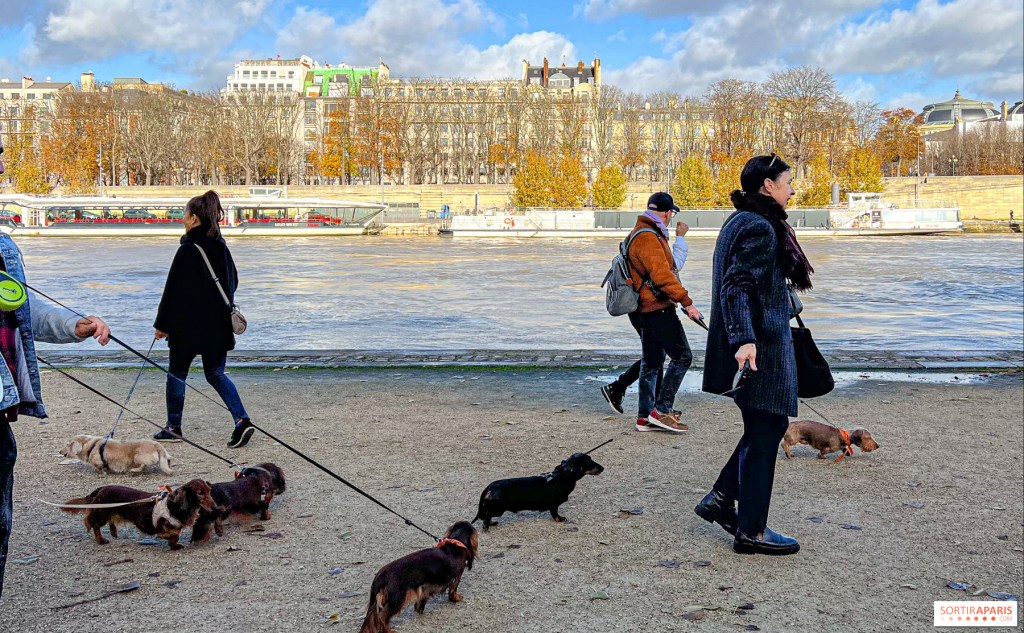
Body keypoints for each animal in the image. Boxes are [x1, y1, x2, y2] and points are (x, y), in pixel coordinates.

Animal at [61, 479, 215, 549]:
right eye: (200, 493)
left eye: (209, 491)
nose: (214, 506)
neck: (176, 506)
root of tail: (101, 488)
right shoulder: (162, 522)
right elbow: (169, 533)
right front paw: (165, 537)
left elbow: (175, 536)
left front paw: (174, 546)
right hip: (103, 512)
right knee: (93, 523)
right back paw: (100, 540)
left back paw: (113, 532)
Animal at [472, 452, 604, 531]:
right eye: (589, 461)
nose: (603, 468)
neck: (562, 476)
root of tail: (489, 487)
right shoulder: (554, 505)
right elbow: (555, 514)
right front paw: (560, 519)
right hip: (498, 509)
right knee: (486, 516)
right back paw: (487, 526)